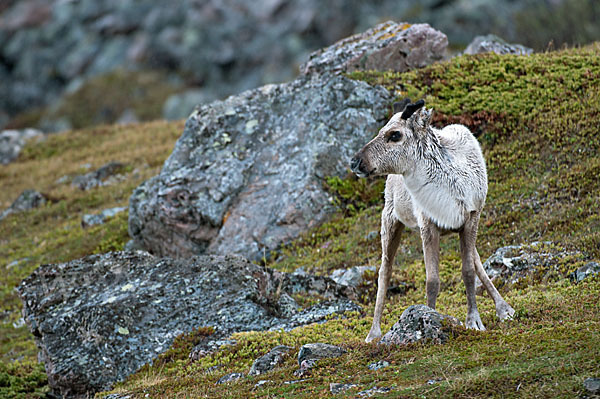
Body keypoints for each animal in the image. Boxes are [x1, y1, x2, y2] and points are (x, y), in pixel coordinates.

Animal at [352, 99, 516, 344]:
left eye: (395, 134)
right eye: (381, 131)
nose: (355, 161)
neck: (449, 186)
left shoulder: (471, 218)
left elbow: (469, 271)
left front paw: (474, 321)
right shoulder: (427, 224)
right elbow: (432, 280)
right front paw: (428, 316)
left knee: (477, 261)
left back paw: (504, 308)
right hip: (390, 219)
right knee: (384, 271)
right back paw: (373, 333)